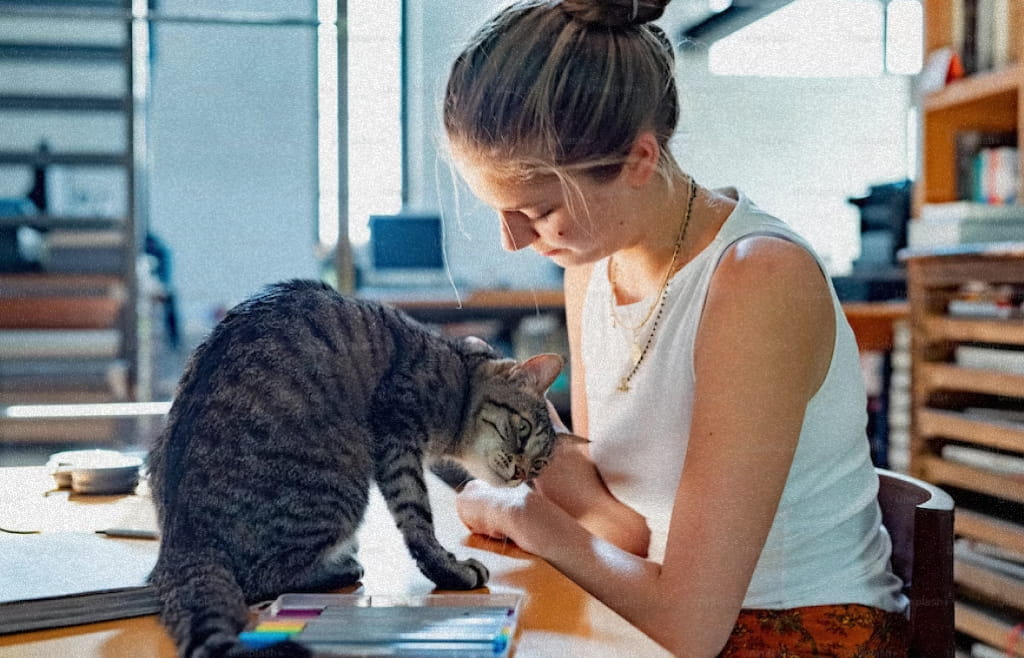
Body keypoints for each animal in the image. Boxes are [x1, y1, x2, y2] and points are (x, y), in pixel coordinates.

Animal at [149, 278, 569, 658]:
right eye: (523, 430)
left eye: (538, 467)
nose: (520, 474)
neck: (457, 374)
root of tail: (180, 539)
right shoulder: (397, 434)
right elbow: (418, 519)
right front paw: (450, 570)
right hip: (342, 482)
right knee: (259, 579)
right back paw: (340, 568)